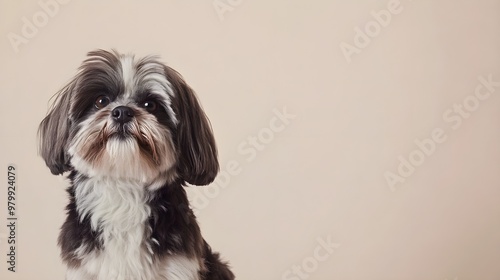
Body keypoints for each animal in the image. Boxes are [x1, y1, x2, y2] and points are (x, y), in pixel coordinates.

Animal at [38, 49, 235, 280]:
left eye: (150, 105)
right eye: (101, 101)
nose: (122, 111)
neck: (124, 188)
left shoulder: (180, 267)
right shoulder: (84, 268)